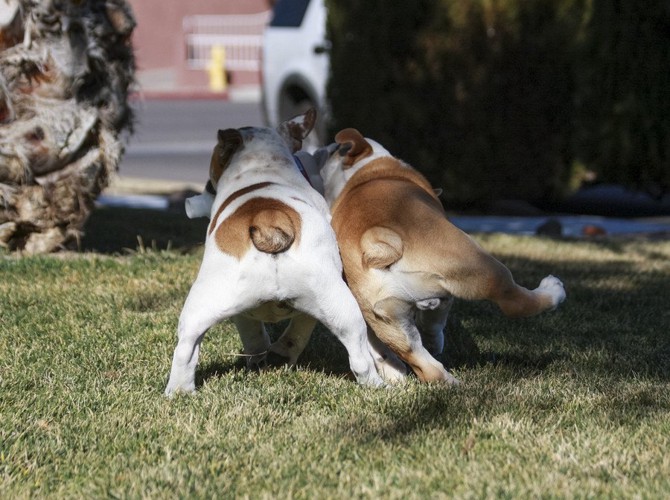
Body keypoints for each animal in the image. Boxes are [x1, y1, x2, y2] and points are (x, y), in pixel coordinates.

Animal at [164, 110, 384, 394]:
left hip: (203, 304)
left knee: (186, 349)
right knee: (358, 355)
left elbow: (255, 333)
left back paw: (179, 392)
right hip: (337, 302)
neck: (261, 165)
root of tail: (268, 223)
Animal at [320, 129, 568, 382]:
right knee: (514, 301)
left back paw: (449, 382)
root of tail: (378, 240)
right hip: (478, 263)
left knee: (424, 364)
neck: (365, 171)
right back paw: (553, 290)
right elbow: (436, 320)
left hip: (385, 315)